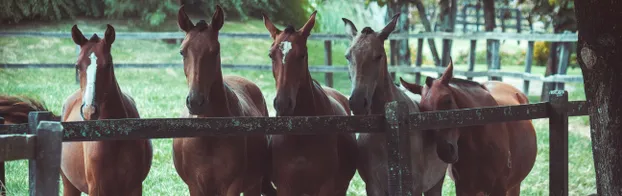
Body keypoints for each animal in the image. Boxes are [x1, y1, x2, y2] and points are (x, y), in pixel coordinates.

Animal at [59, 24, 154, 196]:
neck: (115, 136)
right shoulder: (97, 189)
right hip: (69, 185)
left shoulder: (135, 187)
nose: (89, 111)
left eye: (108, 64)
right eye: (77, 66)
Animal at [174, 4, 274, 196]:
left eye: (215, 51)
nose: (196, 102)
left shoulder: (232, 186)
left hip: (254, 184)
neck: (208, 137)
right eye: (182, 51)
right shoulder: (195, 186)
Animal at [264, 11, 360, 196]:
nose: (282, 103)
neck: (301, 134)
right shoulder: (285, 187)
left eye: (302, 55)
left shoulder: (326, 186)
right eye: (271, 55)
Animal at [344, 14, 450, 195]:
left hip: (435, 183)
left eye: (378, 56)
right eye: (348, 56)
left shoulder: (414, 187)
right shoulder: (373, 186)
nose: (357, 103)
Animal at [400, 60, 540, 194]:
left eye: (448, 100)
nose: (445, 151)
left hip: (513, 186)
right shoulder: (464, 188)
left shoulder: (499, 188)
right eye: (422, 110)